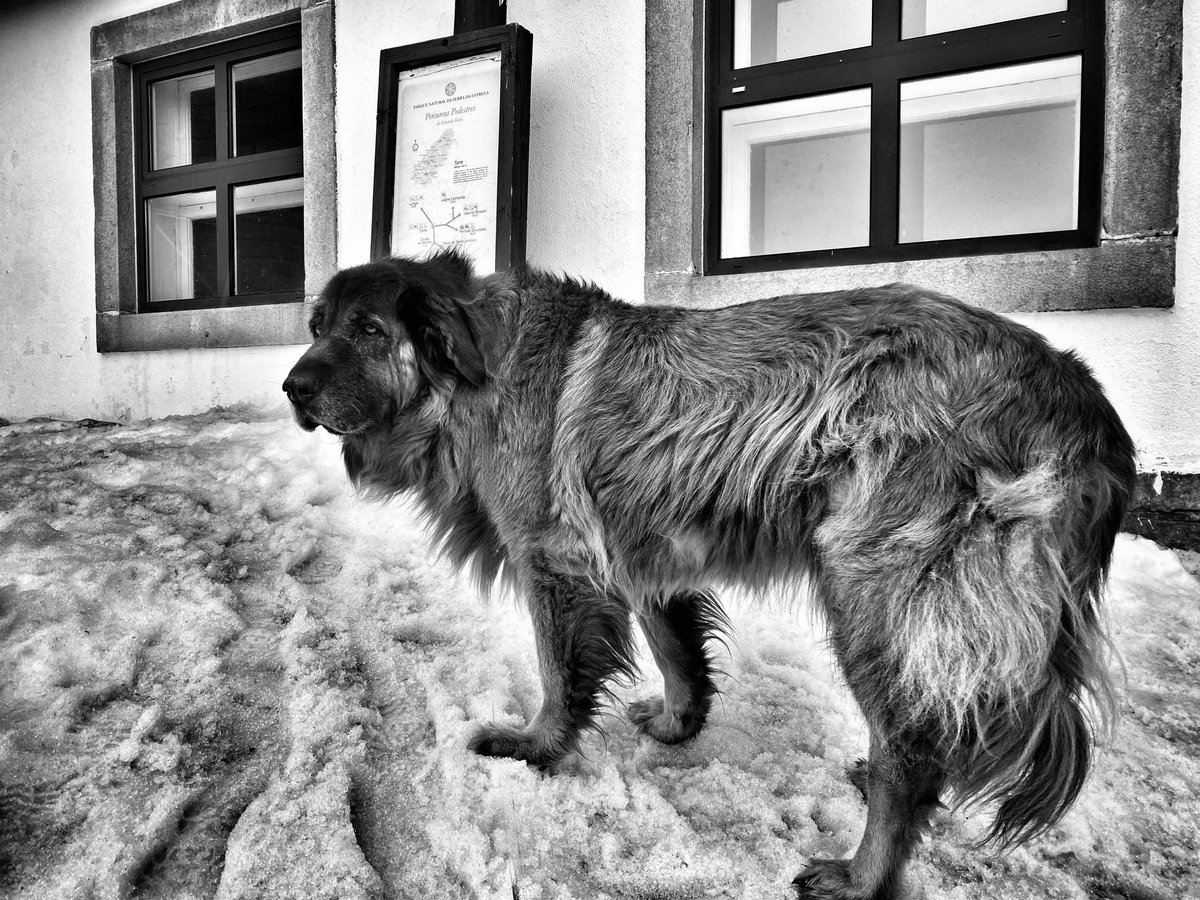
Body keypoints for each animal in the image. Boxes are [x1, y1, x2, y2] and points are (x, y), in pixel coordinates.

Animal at [280, 248, 1132, 900]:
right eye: (317, 328)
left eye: (367, 331)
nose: (292, 387)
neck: (471, 373)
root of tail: (1081, 394)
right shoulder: (644, 550)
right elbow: (676, 649)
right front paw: (677, 723)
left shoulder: (556, 562)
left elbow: (559, 675)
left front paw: (537, 747)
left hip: (873, 596)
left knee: (911, 758)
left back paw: (863, 874)